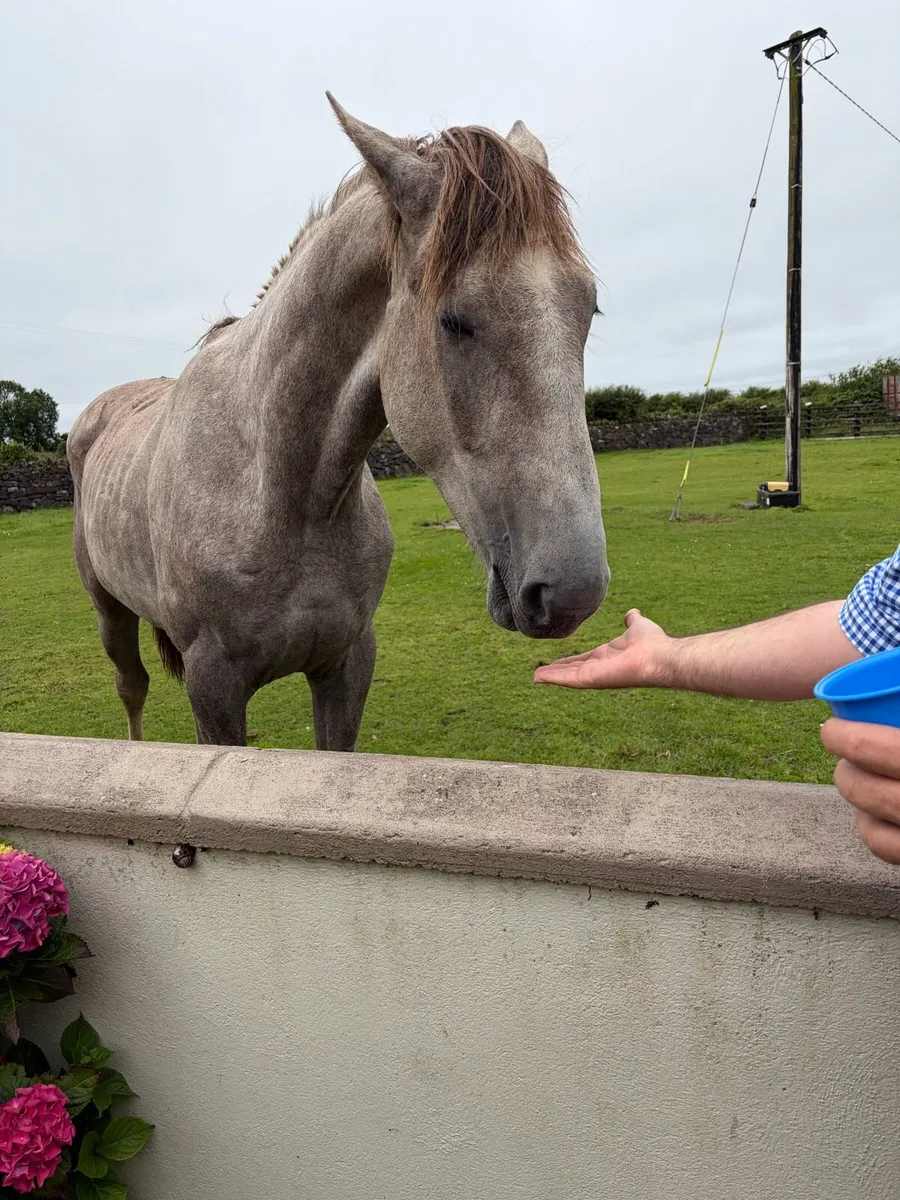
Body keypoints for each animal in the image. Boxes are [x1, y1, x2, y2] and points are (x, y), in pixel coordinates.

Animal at [67, 95, 609, 750]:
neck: (282, 493)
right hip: (108, 611)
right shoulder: (213, 686)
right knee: (132, 688)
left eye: (588, 309)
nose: (572, 593)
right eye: (455, 320)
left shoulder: (347, 663)